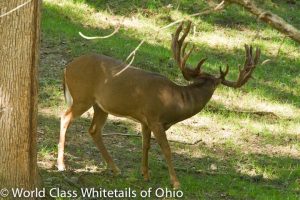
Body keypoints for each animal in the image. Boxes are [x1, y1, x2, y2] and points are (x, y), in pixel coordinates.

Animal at [56, 21, 260, 188]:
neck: (175, 102)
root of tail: (66, 67)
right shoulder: (154, 118)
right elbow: (167, 149)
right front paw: (175, 182)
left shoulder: (145, 120)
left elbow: (145, 145)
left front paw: (145, 174)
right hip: (82, 97)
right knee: (65, 117)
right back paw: (61, 165)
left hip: (100, 105)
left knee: (94, 129)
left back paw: (115, 168)